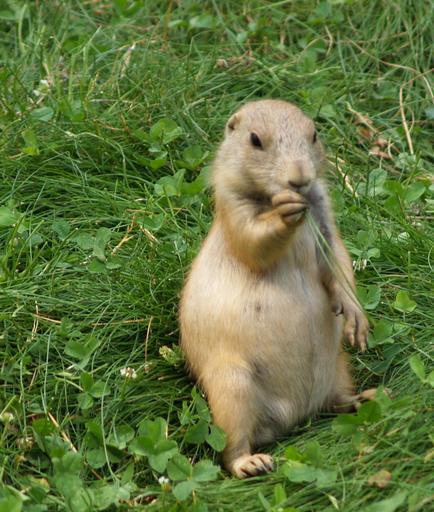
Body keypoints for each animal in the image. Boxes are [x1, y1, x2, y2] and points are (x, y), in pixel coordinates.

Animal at [179, 99, 374, 478]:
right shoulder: (234, 208)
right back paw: (250, 462)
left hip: (339, 367)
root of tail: (294, 416)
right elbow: (253, 242)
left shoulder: (324, 214)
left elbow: (338, 260)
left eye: (314, 134)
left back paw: (362, 398)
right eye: (255, 140)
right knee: (231, 447)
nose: (299, 179)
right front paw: (284, 213)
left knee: (335, 400)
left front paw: (356, 318)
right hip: (231, 388)